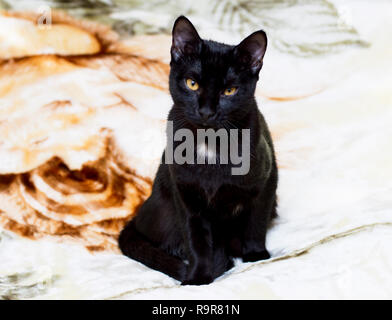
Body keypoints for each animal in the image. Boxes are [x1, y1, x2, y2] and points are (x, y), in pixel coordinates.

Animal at [118, 15, 278, 284]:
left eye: (229, 91)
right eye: (192, 84)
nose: (206, 112)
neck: (209, 144)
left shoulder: (265, 183)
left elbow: (256, 224)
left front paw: (256, 255)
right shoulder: (186, 195)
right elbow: (196, 240)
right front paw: (197, 278)